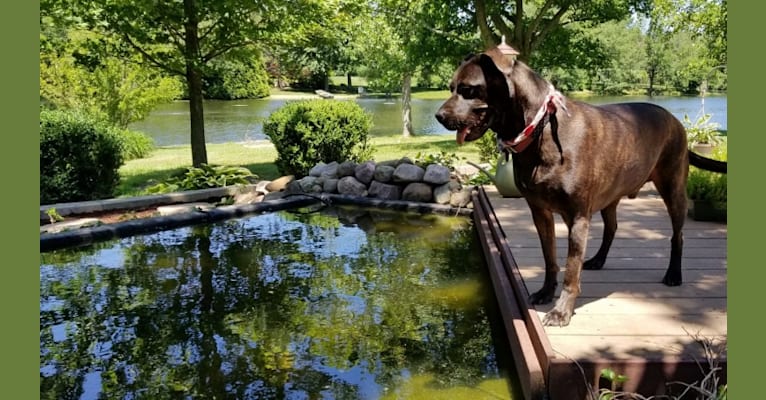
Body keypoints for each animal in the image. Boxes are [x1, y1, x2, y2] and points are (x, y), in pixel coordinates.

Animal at [438, 45, 728, 326]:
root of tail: (675, 120)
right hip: (611, 195)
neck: (540, 129)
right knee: (612, 227)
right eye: (451, 87)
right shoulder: (540, 211)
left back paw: (673, 273)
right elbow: (550, 258)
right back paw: (598, 259)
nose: (439, 116)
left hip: (673, 187)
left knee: (677, 235)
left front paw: (561, 312)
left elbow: (571, 269)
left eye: (468, 89)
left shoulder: (577, 216)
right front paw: (546, 292)